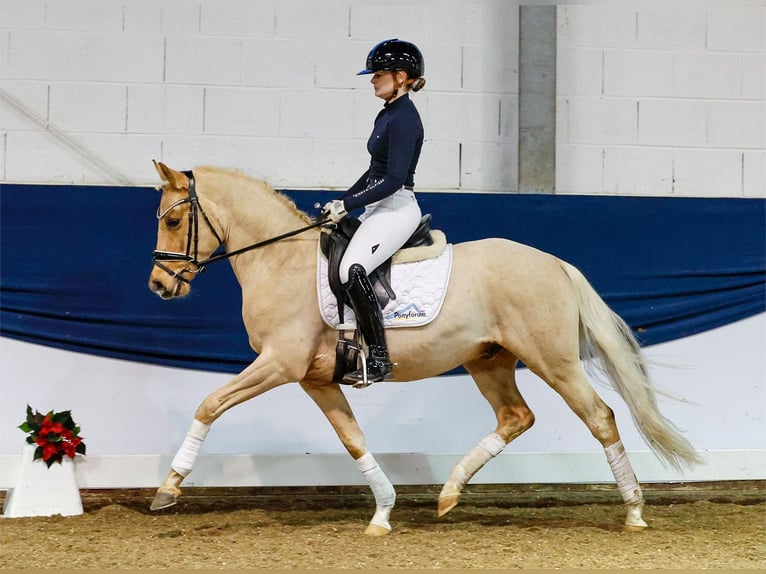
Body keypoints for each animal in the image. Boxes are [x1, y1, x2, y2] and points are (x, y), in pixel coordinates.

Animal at [146, 162, 704, 536]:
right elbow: (352, 439)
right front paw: (383, 512)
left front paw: (168, 488)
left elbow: (210, 403)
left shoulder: (279, 364)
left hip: (555, 362)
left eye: (172, 222)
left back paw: (634, 511)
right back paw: (449, 493)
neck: (279, 260)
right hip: (488, 361)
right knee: (516, 417)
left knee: (600, 417)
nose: (158, 285)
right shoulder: (314, 378)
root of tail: (554, 263)